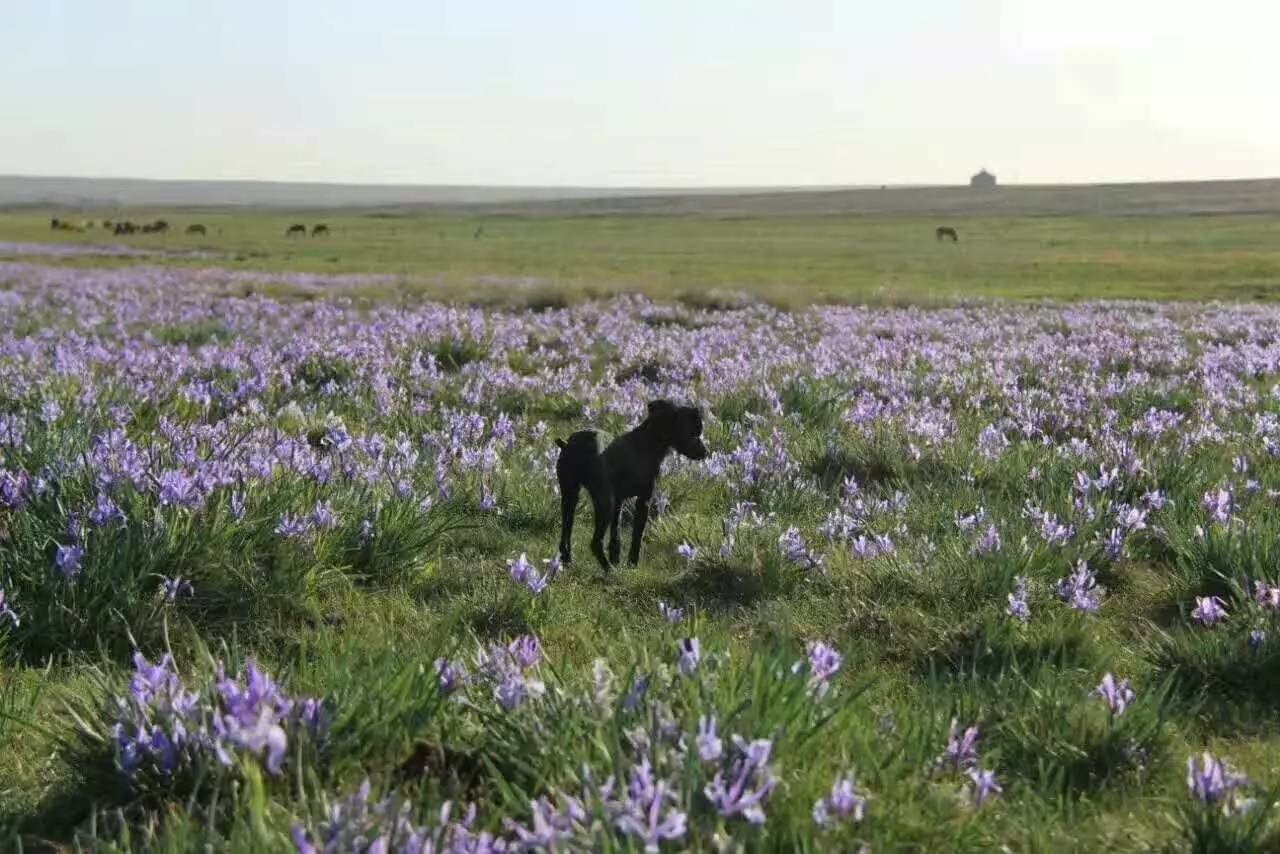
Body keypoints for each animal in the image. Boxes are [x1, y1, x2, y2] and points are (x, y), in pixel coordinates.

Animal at [555, 399, 711, 571]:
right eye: (692, 433)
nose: (706, 452)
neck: (645, 443)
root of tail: (574, 445)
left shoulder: (619, 502)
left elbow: (616, 534)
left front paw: (616, 559)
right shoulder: (644, 500)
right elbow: (638, 536)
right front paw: (632, 564)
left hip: (570, 497)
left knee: (566, 533)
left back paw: (569, 561)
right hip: (604, 503)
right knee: (595, 542)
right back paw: (610, 570)